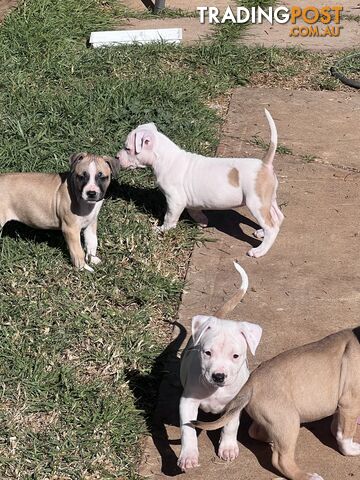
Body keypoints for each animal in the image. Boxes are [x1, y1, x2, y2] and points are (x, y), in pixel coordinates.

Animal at [116, 109, 282, 258]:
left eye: (128, 148)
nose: (116, 157)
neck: (166, 158)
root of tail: (264, 164)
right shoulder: (189, 200)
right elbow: (194, 210)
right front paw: (202, 222)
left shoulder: (175, 200)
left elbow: (170, 217)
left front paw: (162, 229)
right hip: (269, 200)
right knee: (278, 218)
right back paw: (261, 232)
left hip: (256, 203)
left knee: (272, 227)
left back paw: (259, 250)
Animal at [177, 260, 262, 470]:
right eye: (207, 353)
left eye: (235, 356)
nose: (218, 376)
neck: (215, 390)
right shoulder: (188, 402)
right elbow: (187, 430)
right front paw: (188, 456)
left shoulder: (237, 403)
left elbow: (231, 425)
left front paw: (228, 447)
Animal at [193, 326, 360, 480]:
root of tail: (250, 383)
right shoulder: (350, 404)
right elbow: (345, 435)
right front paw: (351, 449)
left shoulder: (342, 407)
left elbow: (338, 425)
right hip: (289, 420)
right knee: (281, 460)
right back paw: (307, 476)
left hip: (276, 420)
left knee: (255, 431)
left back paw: (271, 440)